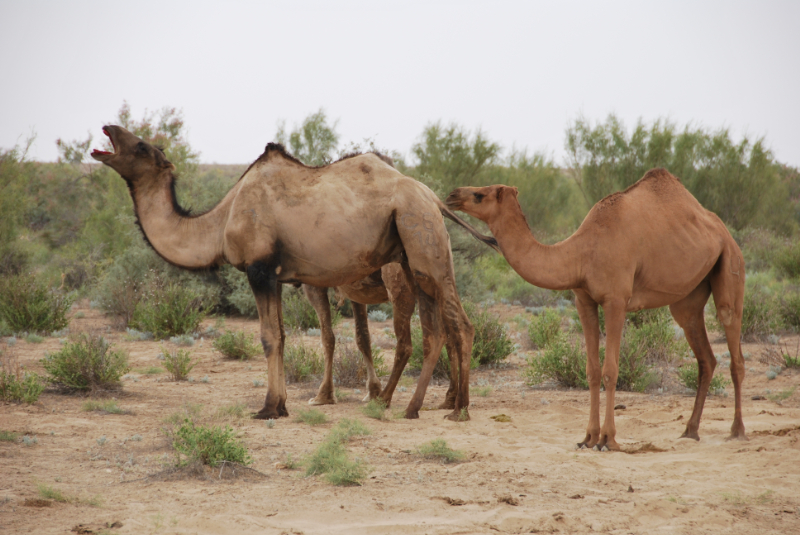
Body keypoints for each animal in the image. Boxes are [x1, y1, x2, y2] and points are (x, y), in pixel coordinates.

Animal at [90, 126, 490, 422]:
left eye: (141, 146)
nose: (107, 129)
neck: (220, 221)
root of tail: (434, 198)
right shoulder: (280, 278)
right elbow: (283, 335)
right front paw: (283, 405)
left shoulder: (260, 270)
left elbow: (270, 337)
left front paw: (268, 408)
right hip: (414, 258)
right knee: (441, 329)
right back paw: (422, 407)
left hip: (421, 241)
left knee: (454, 326)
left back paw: (447, 410)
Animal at [446, 170, 748, 450]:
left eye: (479, 194)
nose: (452, 195)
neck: (581, 253)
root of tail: (724, 232)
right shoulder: (584, 300)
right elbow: (591, 370)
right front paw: (588, 438)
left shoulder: (616, 300)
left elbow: (610, 369)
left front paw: (608, 439)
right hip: (688, 298)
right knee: (706, 357)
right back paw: (690, 431)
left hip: (730, 266)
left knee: (734, 349)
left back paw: (737, 430)